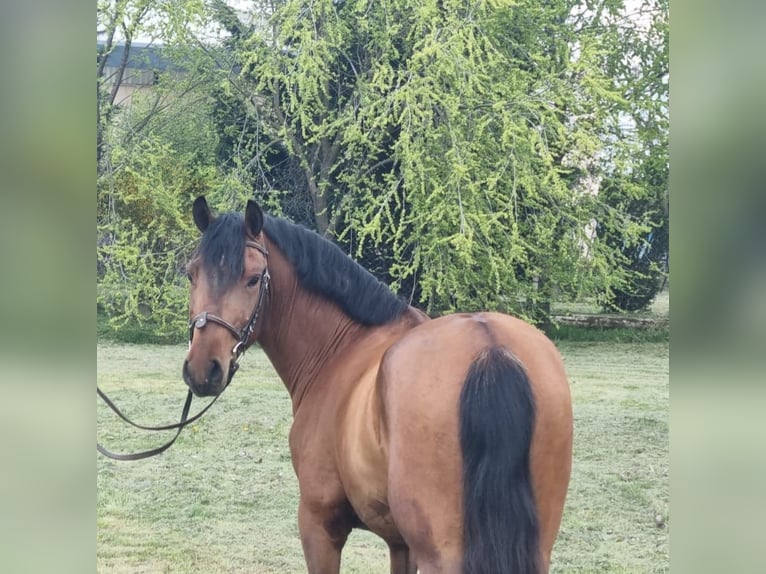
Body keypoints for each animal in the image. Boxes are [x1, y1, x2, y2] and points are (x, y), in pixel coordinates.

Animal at [183, 196, 572, 574]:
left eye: (252, 278)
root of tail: (489, 346)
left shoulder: (319, 526)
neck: (340, 349)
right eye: (192, 273)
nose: (203, 368)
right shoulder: (400, 544)